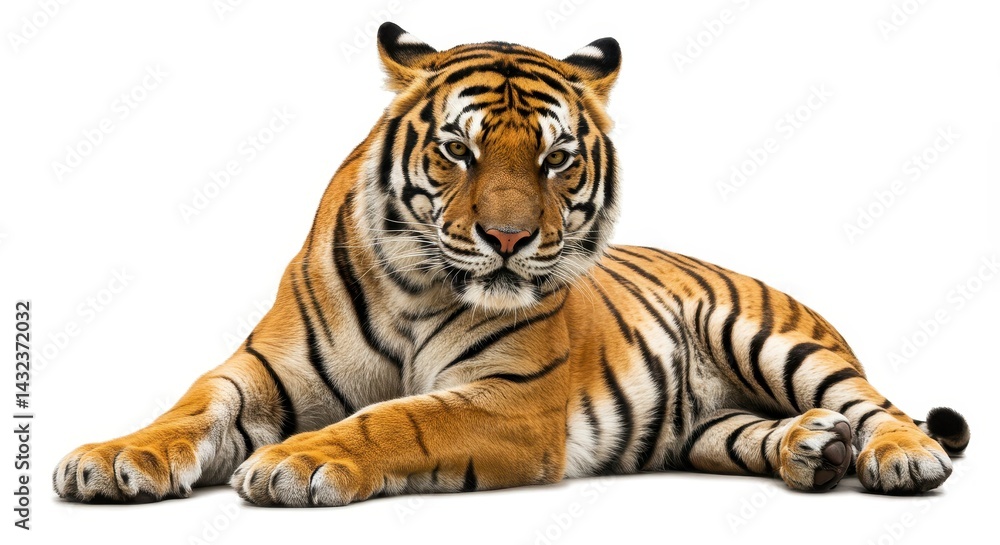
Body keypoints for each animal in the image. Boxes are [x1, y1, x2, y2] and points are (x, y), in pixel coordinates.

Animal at [54, 23, 969, 506]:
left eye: (556, 158)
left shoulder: (511, 398)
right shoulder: (259, 372)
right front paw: (109, 458)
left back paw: (895, 455)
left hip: (774, 337)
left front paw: (295, 461)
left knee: (877, 404)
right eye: (458, 150)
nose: (507, 238)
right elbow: (187, 407)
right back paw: (812, 450)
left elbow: (398, 418)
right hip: (710, 425)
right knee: (755, 431)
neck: (411, 286)